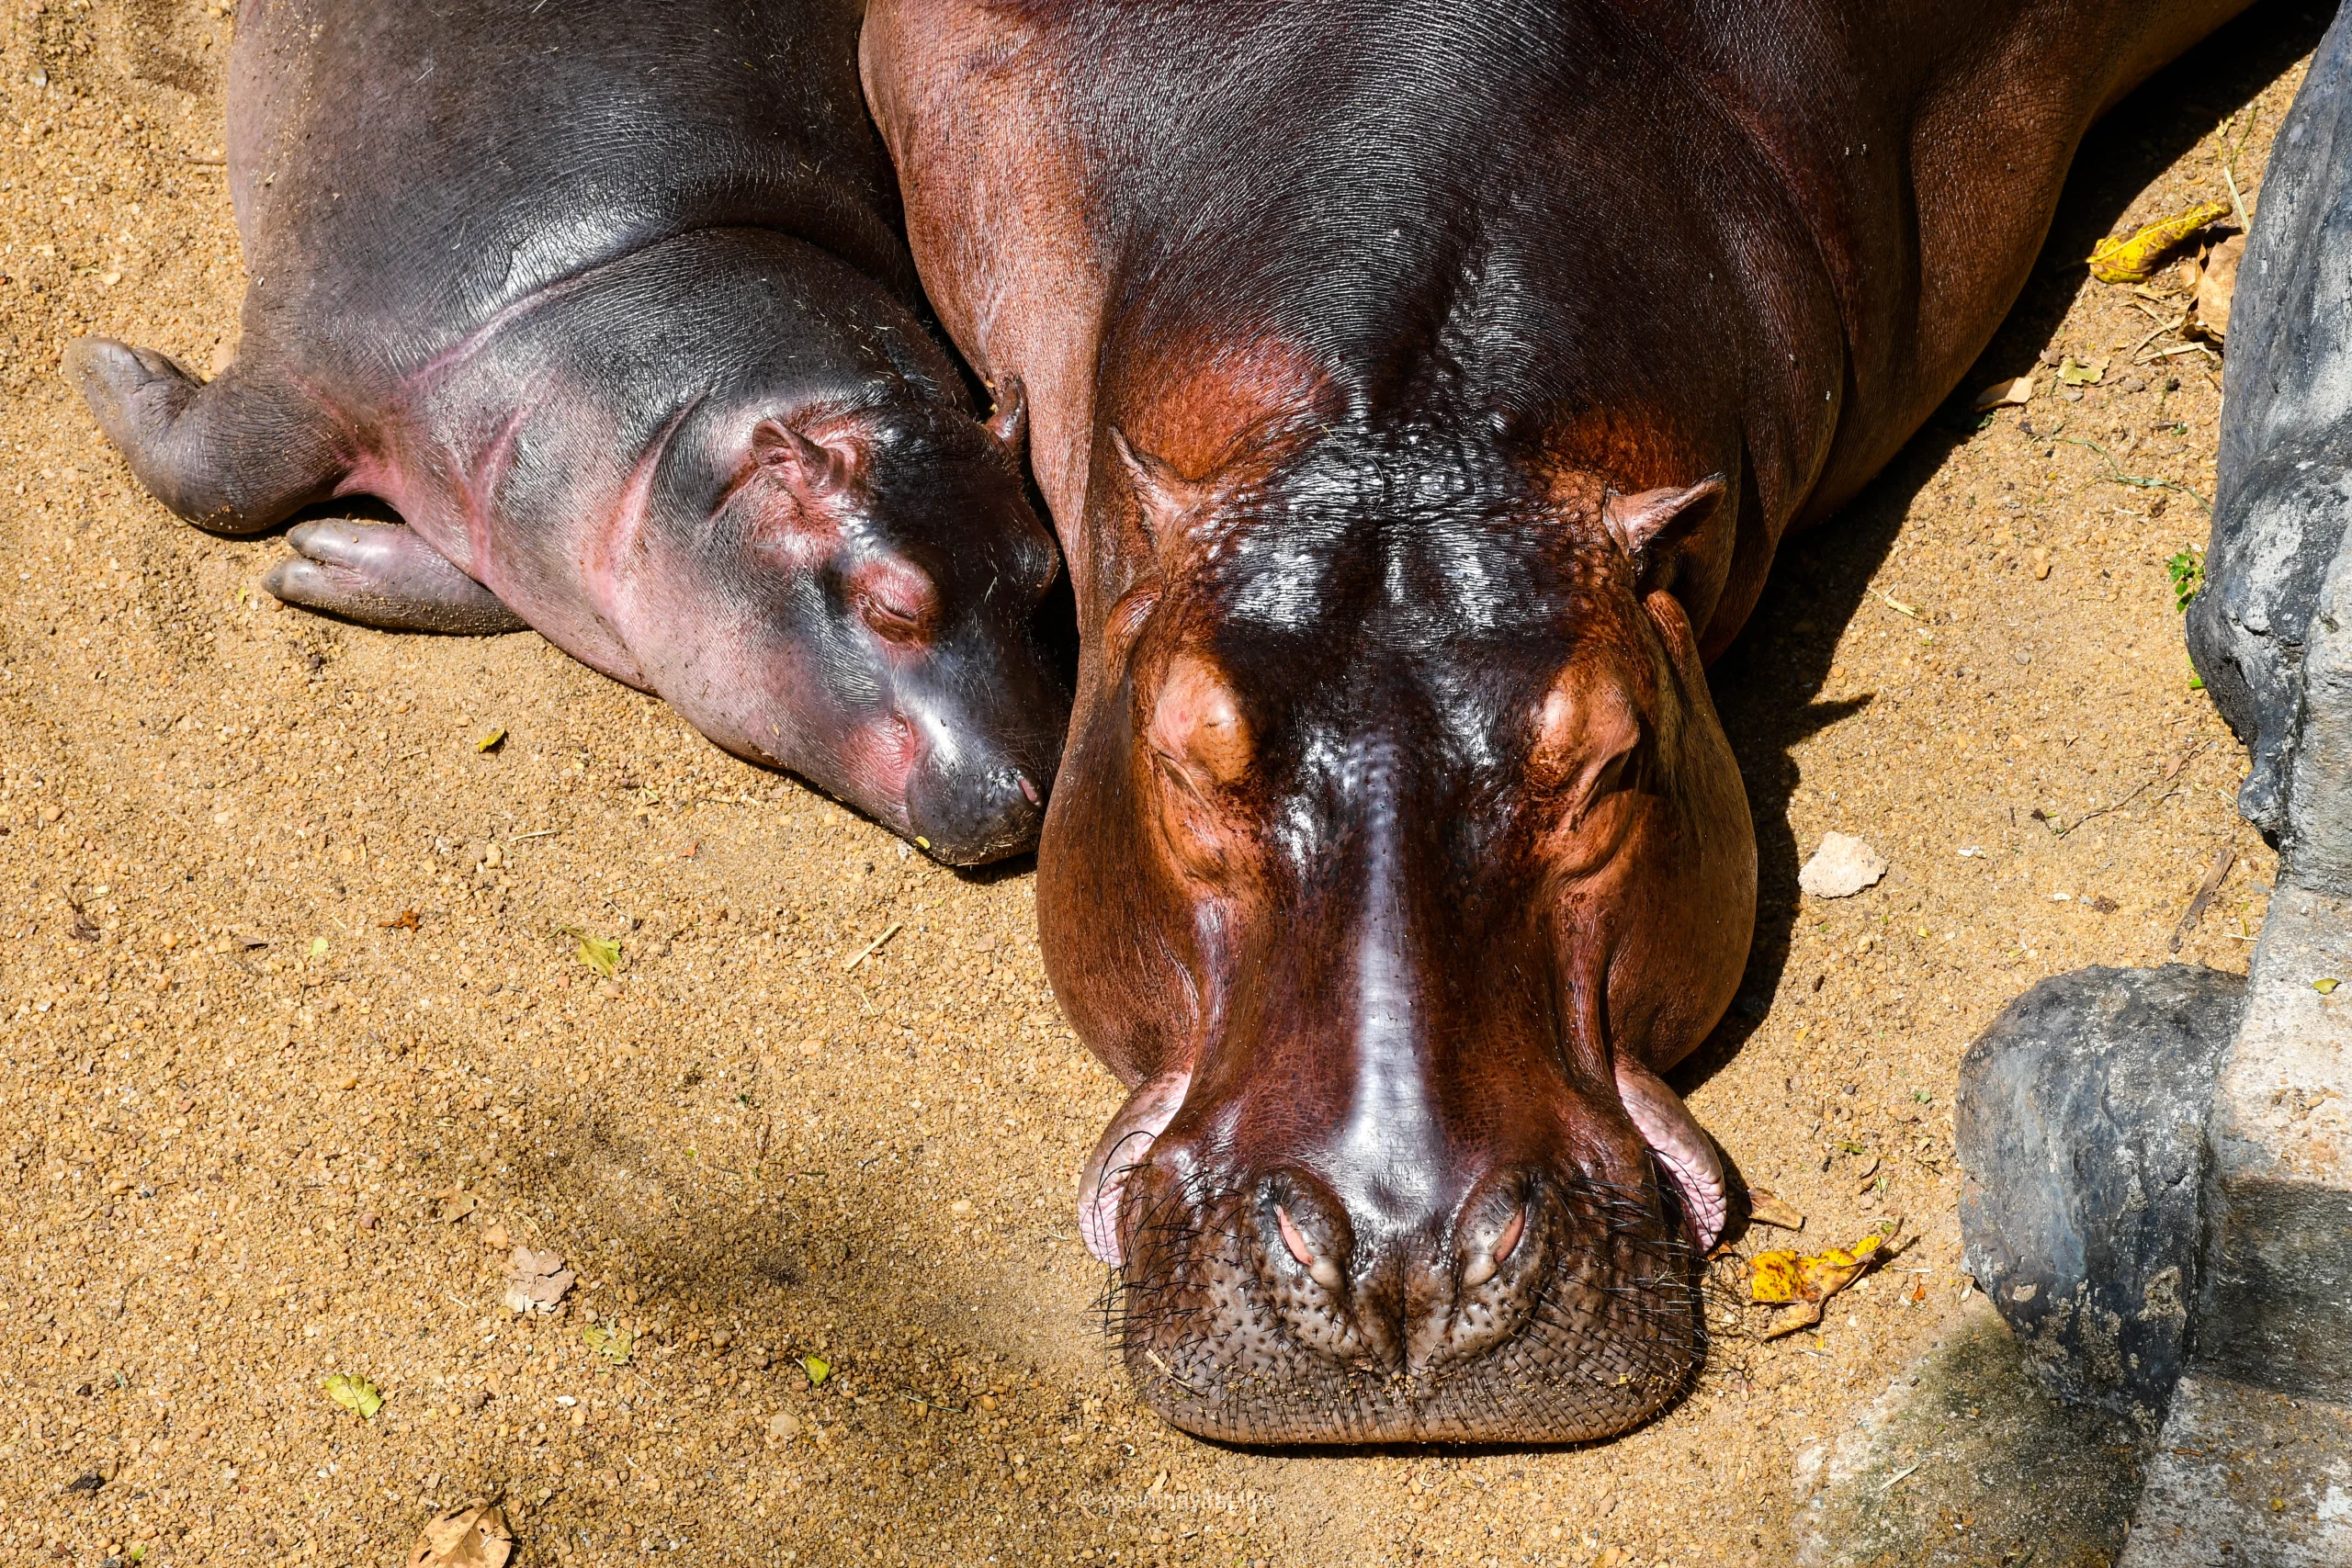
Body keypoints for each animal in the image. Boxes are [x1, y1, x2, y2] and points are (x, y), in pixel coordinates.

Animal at [68, 0, 1067, 866]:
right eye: (893, 605)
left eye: (1044, 573)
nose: (1031, 795)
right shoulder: (321, 354)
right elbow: (222, 481)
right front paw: (103, 364)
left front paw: (325, 554)